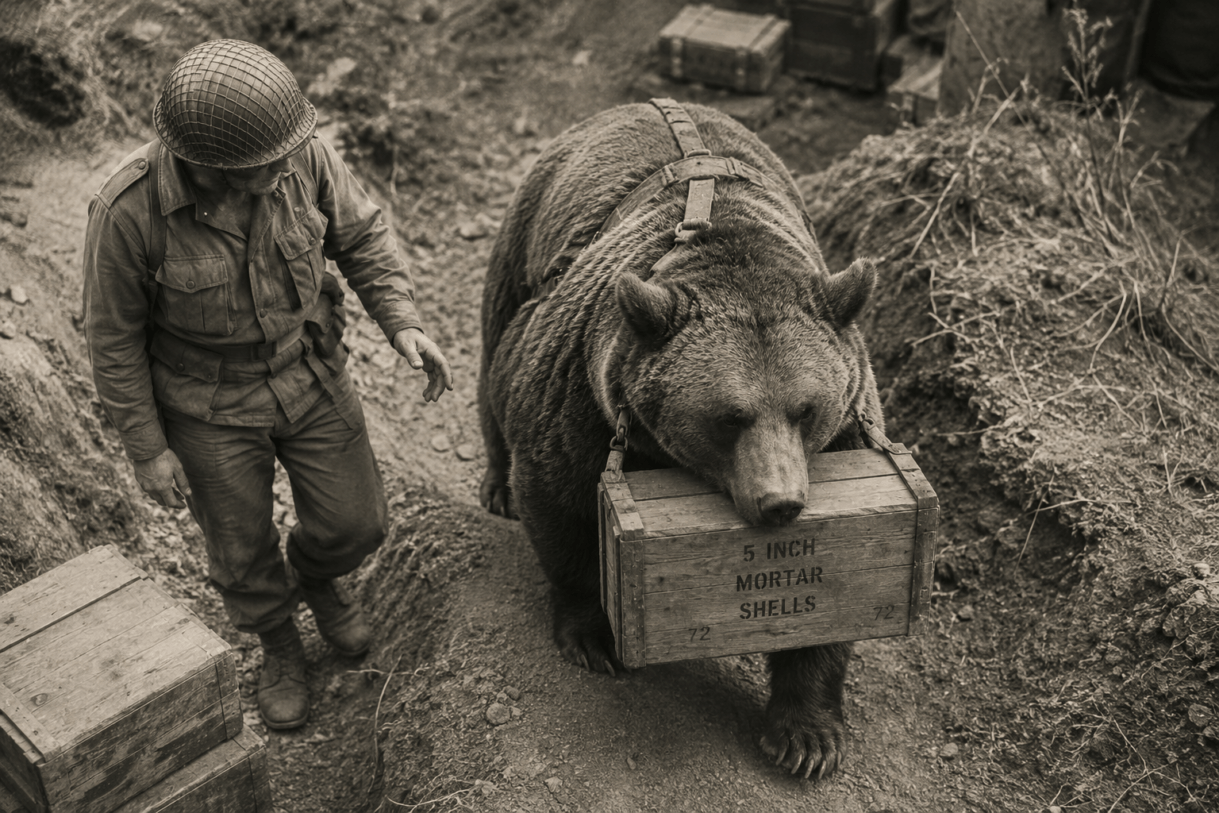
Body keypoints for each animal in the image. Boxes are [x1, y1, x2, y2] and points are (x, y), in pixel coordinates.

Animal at [477, 100, 883, 779]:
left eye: (805, 409)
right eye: (730, 416)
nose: (780, 502)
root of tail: (638, 102)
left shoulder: (848, 434)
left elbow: (833, 588)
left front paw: (806, 739)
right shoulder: (581, 396)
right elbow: (560, 503)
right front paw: (594, 637)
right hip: (524, 237)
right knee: (492, 348)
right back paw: (494, 488)